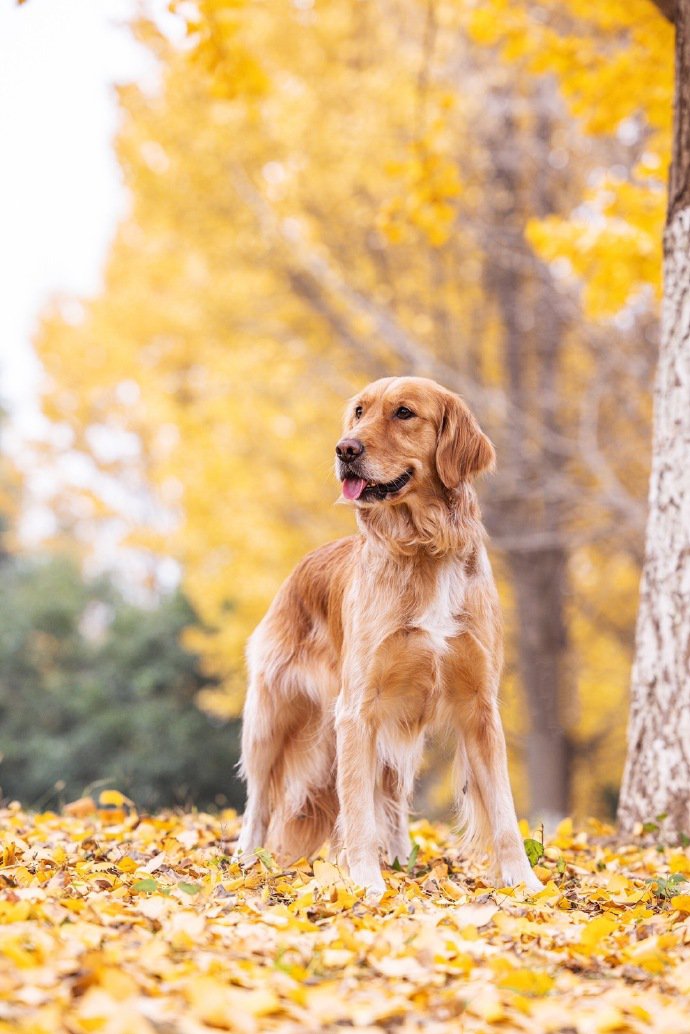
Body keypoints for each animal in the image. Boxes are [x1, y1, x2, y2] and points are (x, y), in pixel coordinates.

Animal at [234, 374, 542, 897]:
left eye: (404, 413)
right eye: (359, 412)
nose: (344, 448)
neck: (424, 547)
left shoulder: (479, 707)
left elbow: (503, 810)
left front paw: (526, 884)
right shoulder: (357, 711)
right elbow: (357, 810)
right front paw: (364, 883)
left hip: (398, 725)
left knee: (393, 799)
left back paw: (399, 860)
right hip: (271, 715)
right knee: (259, 800)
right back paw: (245, 860)